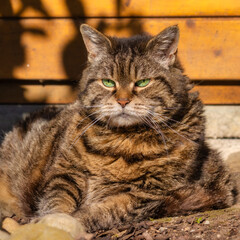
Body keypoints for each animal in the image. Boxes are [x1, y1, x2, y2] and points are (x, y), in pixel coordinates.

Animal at [0, 23, 236, 237]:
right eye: (107, 82)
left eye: (142, 82)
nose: (122, 101)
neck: (122, 139)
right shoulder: (64, 174)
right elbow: (56, 201)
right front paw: (51, 221)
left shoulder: (143, 194)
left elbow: (99, 213)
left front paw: (63, 224)